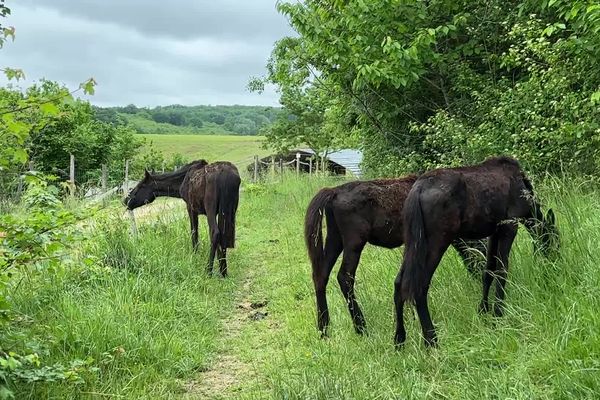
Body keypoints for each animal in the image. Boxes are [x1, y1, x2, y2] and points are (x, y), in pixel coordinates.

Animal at [302, 177, 490, 336]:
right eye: (480, 247)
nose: (480, 272)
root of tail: (334, 191)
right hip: (354, 242)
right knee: (344, 277)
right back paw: (361, 327)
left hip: (335, 238)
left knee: (321, 275)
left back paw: (323, 328)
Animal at [394, 156, 556, 346]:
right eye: (556, 242)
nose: (553, 264)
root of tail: (417, 191)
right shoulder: (509, 225)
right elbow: (502, 270)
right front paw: (498, 313)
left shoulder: (494, 232)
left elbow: (488, 272)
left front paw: (484, 310)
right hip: (437, 241)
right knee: (418, 286)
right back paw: (431, 338)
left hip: (413, 243)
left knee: (399, 283)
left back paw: (399, 339)